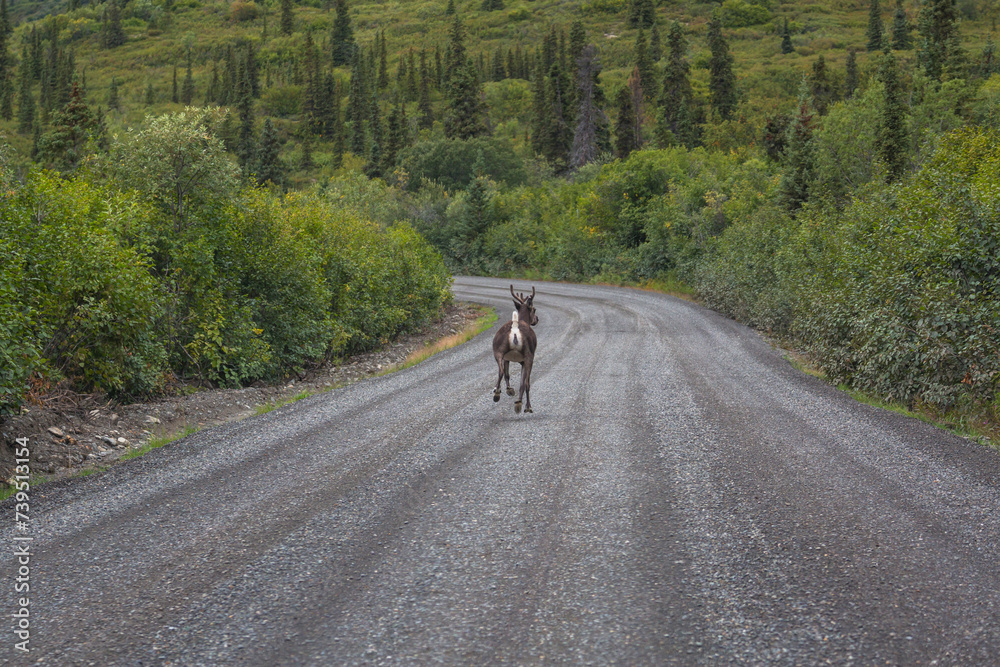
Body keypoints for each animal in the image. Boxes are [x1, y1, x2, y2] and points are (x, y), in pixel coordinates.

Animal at [492, 285, 538, 414]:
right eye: (534, 309)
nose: (537, 319)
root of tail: (515, 329)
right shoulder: (524, 361)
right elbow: (523, 382)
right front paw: (522, 403)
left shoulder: (508, 358)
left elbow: (508, 375)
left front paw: (510, 391)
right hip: (529, 356)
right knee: (527, 383)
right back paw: (527, 406)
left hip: (498, 351)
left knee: (501, 371)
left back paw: (497, 393)